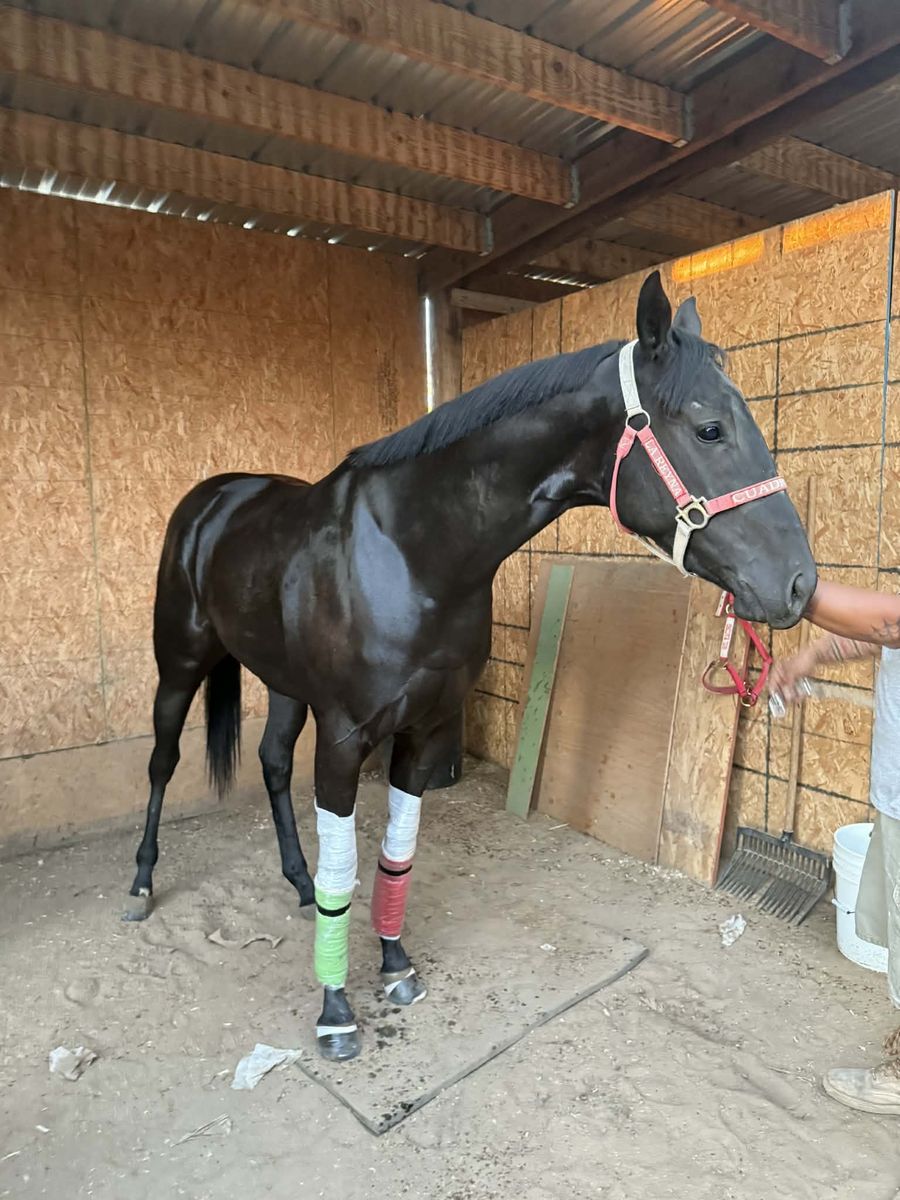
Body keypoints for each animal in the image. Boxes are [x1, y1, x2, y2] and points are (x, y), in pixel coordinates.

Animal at [124, 271, 816, 1062]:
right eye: (708, 428)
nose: (800, 584)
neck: (411, 549)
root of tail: (213, 496)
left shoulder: (425, 729)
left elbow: (396, 854)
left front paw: (395, 964)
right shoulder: (344, 737)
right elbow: (346, 868)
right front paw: (335, 1009)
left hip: (283, 684)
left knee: (270, 763)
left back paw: (295, 882)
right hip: (178, 667)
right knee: (162, 762)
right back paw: (141, 884)